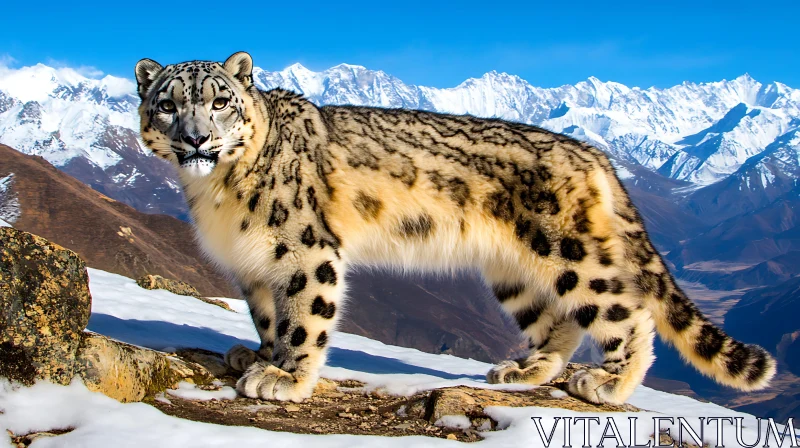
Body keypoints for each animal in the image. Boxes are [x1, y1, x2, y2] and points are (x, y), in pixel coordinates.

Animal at [136, 53, 776, 406]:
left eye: (220, 101)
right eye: (166, 105)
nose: (196, 138)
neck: (216, 194)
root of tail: (594, 153)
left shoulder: (303, 252)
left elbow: (304, 318)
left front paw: (284, 378)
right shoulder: (253, 265)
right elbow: (269, 316)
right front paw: (256, 356)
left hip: (572, 252)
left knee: (626, 311)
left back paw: (610, 384)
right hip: (515, 270)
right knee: (561, 319)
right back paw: (527, 368)